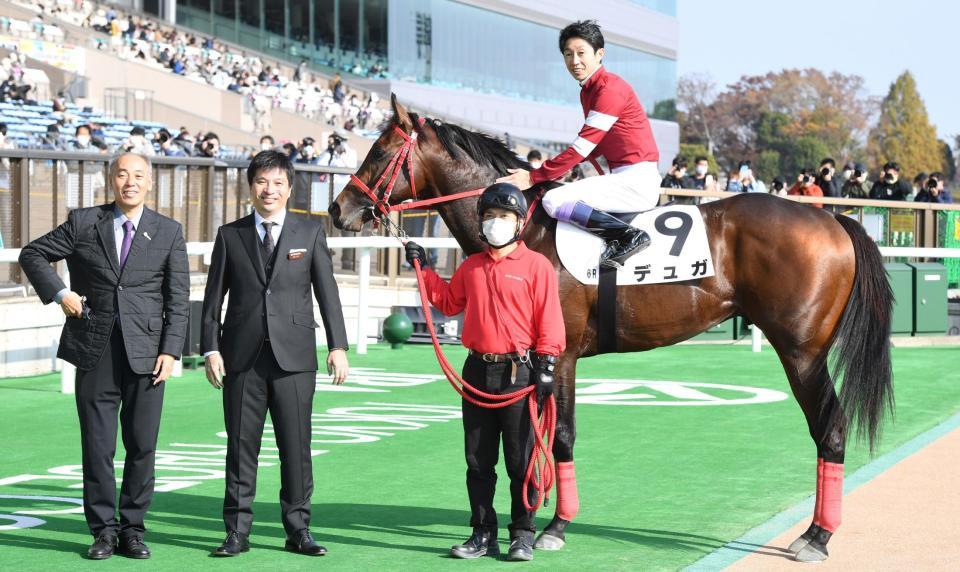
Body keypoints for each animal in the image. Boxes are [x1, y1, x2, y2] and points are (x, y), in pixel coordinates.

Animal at [330, 95, 892, 564]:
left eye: (379, 151)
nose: (339, 209)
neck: (525, 229)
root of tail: (834, 221)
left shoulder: (559, 355)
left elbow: (559, 437)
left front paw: (553, 527)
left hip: (802, 353)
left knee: (830, 429)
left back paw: (817, 536)